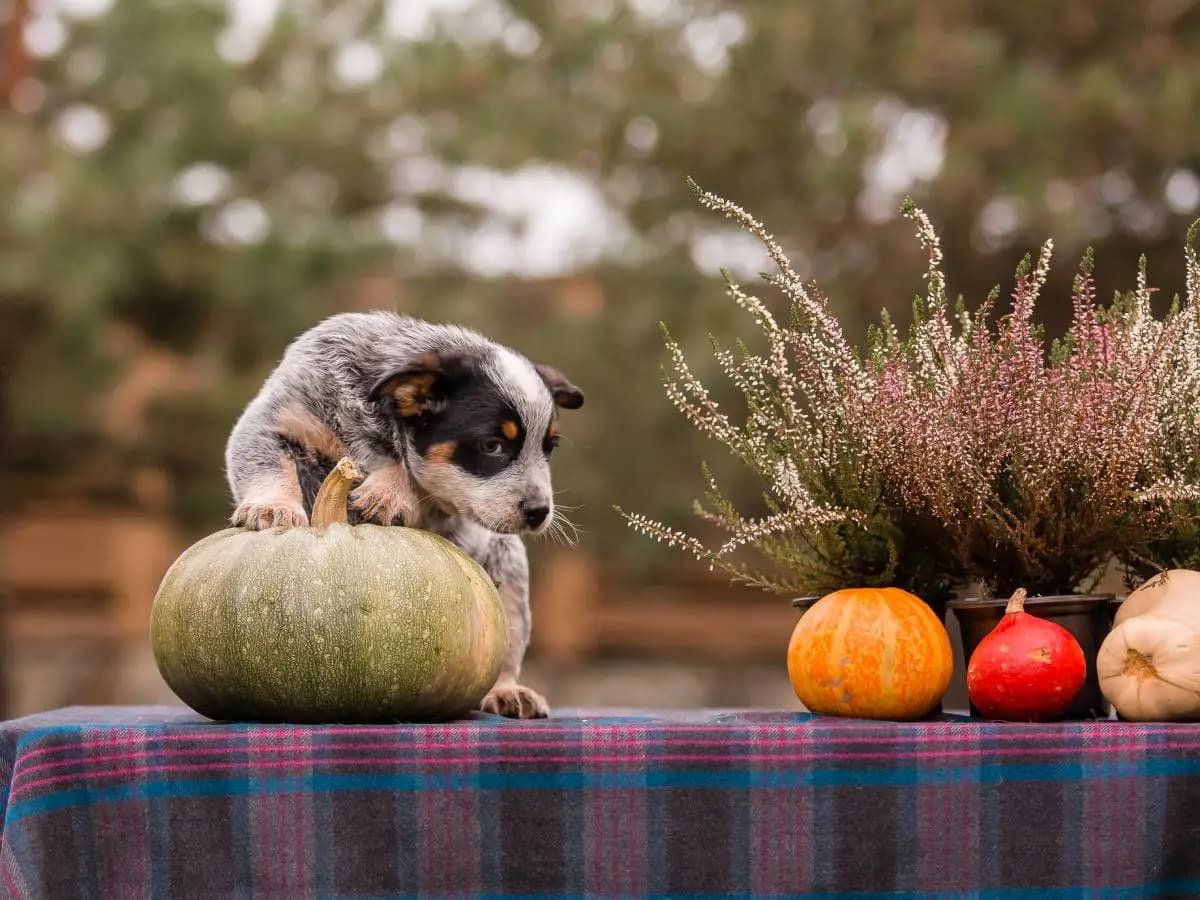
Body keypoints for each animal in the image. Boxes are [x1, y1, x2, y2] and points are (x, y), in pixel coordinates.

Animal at [225, 314, 585, 724]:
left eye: (548, 448)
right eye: (492, 445)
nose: (540, 512)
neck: (371, 420)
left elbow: (411, 472)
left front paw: (389, 492)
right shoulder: (275, 421)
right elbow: (266, 462)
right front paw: (271, 508)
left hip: (508, 570)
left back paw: (508, 691)